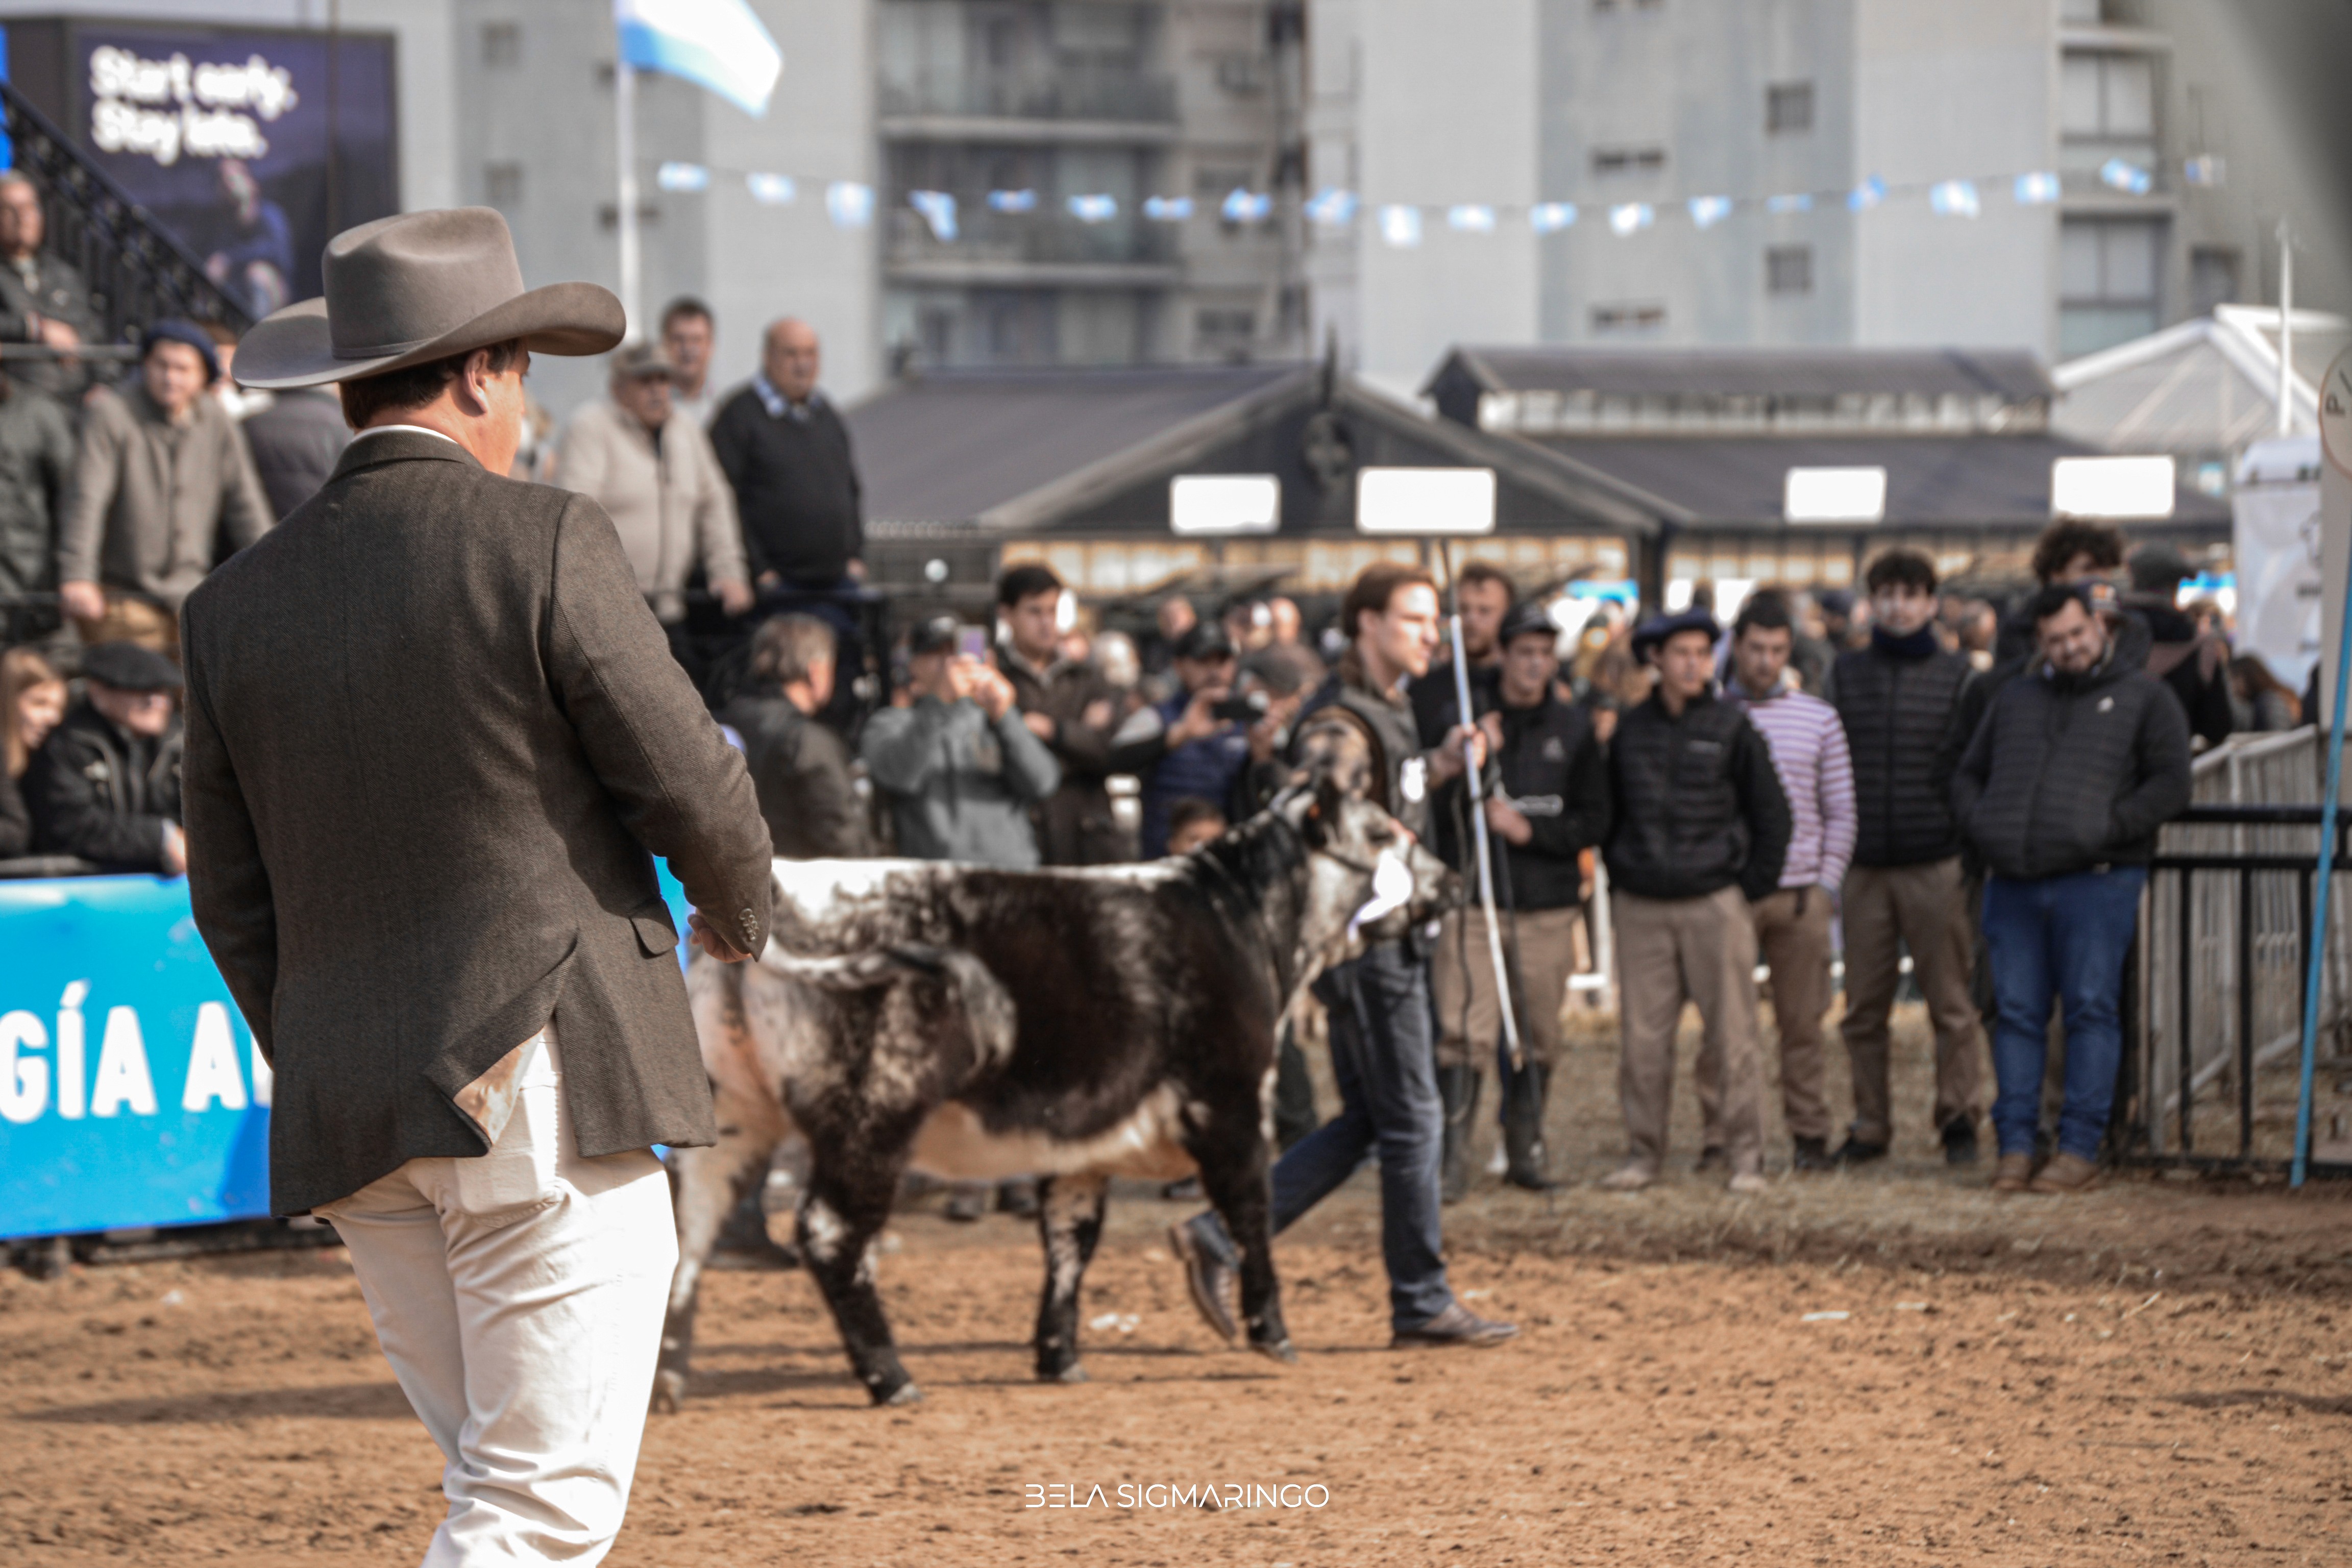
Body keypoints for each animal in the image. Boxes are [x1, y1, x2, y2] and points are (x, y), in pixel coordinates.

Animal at [653, 775, 1455, 1410]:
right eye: (1383, 830)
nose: (1449, 879)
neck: (1242, 921)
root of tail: (781, 884)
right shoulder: (1227, 1102)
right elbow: (1249, 1211)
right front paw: (1272, 1332)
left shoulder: (1084, 1147)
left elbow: (1072, 1240)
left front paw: (1058, 1356)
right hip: (874, 1113)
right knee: (829, 1234)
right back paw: (890, 1376)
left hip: (732, 1120)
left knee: (688, 1237)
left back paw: (665, 1385)